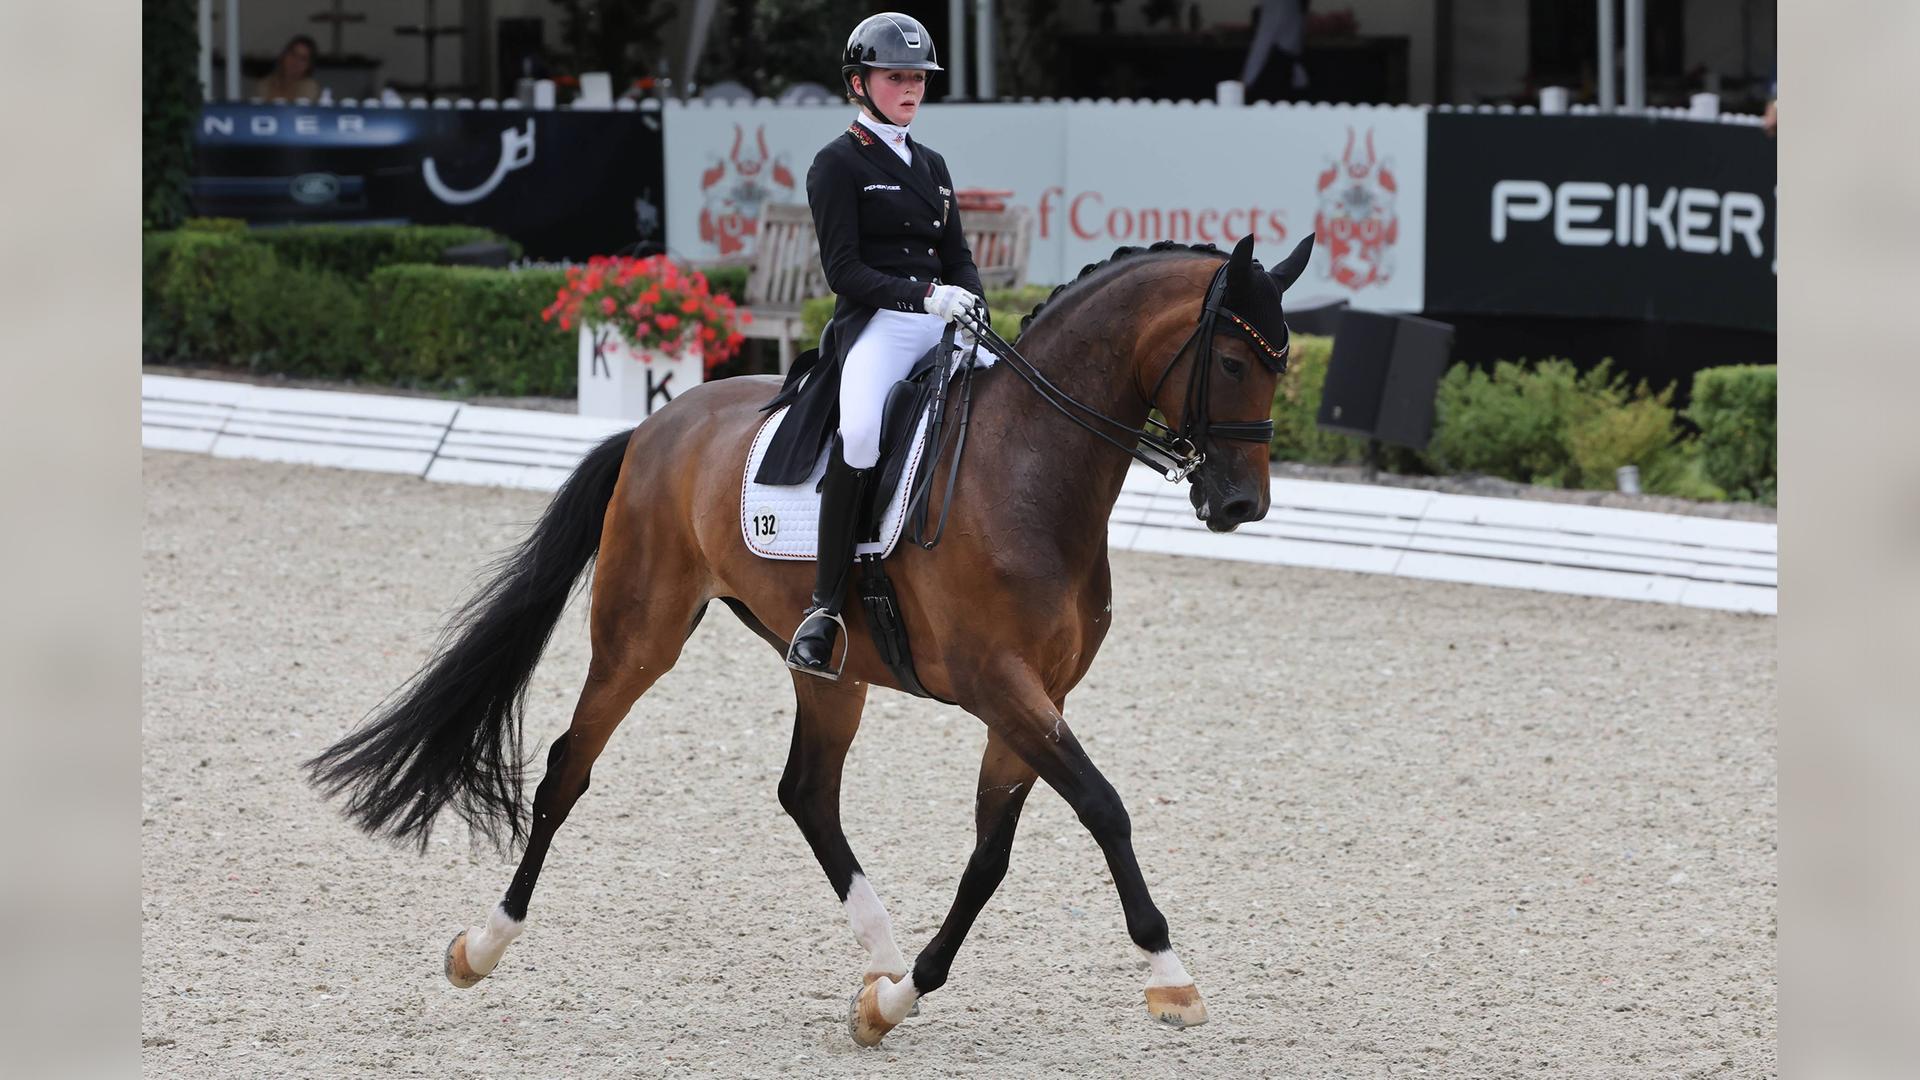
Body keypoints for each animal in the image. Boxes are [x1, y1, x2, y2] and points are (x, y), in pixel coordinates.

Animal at [307, 231, 1315, 1047]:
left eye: (1283, 365)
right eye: (1234, 360)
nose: (1240, 505)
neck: (1031, 468)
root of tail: (658, 422)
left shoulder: (1035, 698)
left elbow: (989, 857)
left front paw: (898, 999)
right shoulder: (1002, 686)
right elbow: (1104, 809)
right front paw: (1171, 979)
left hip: (830, 668)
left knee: (806, 792)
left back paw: (881, 957)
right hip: (640, 634)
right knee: (568, 769)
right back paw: (481, 945)